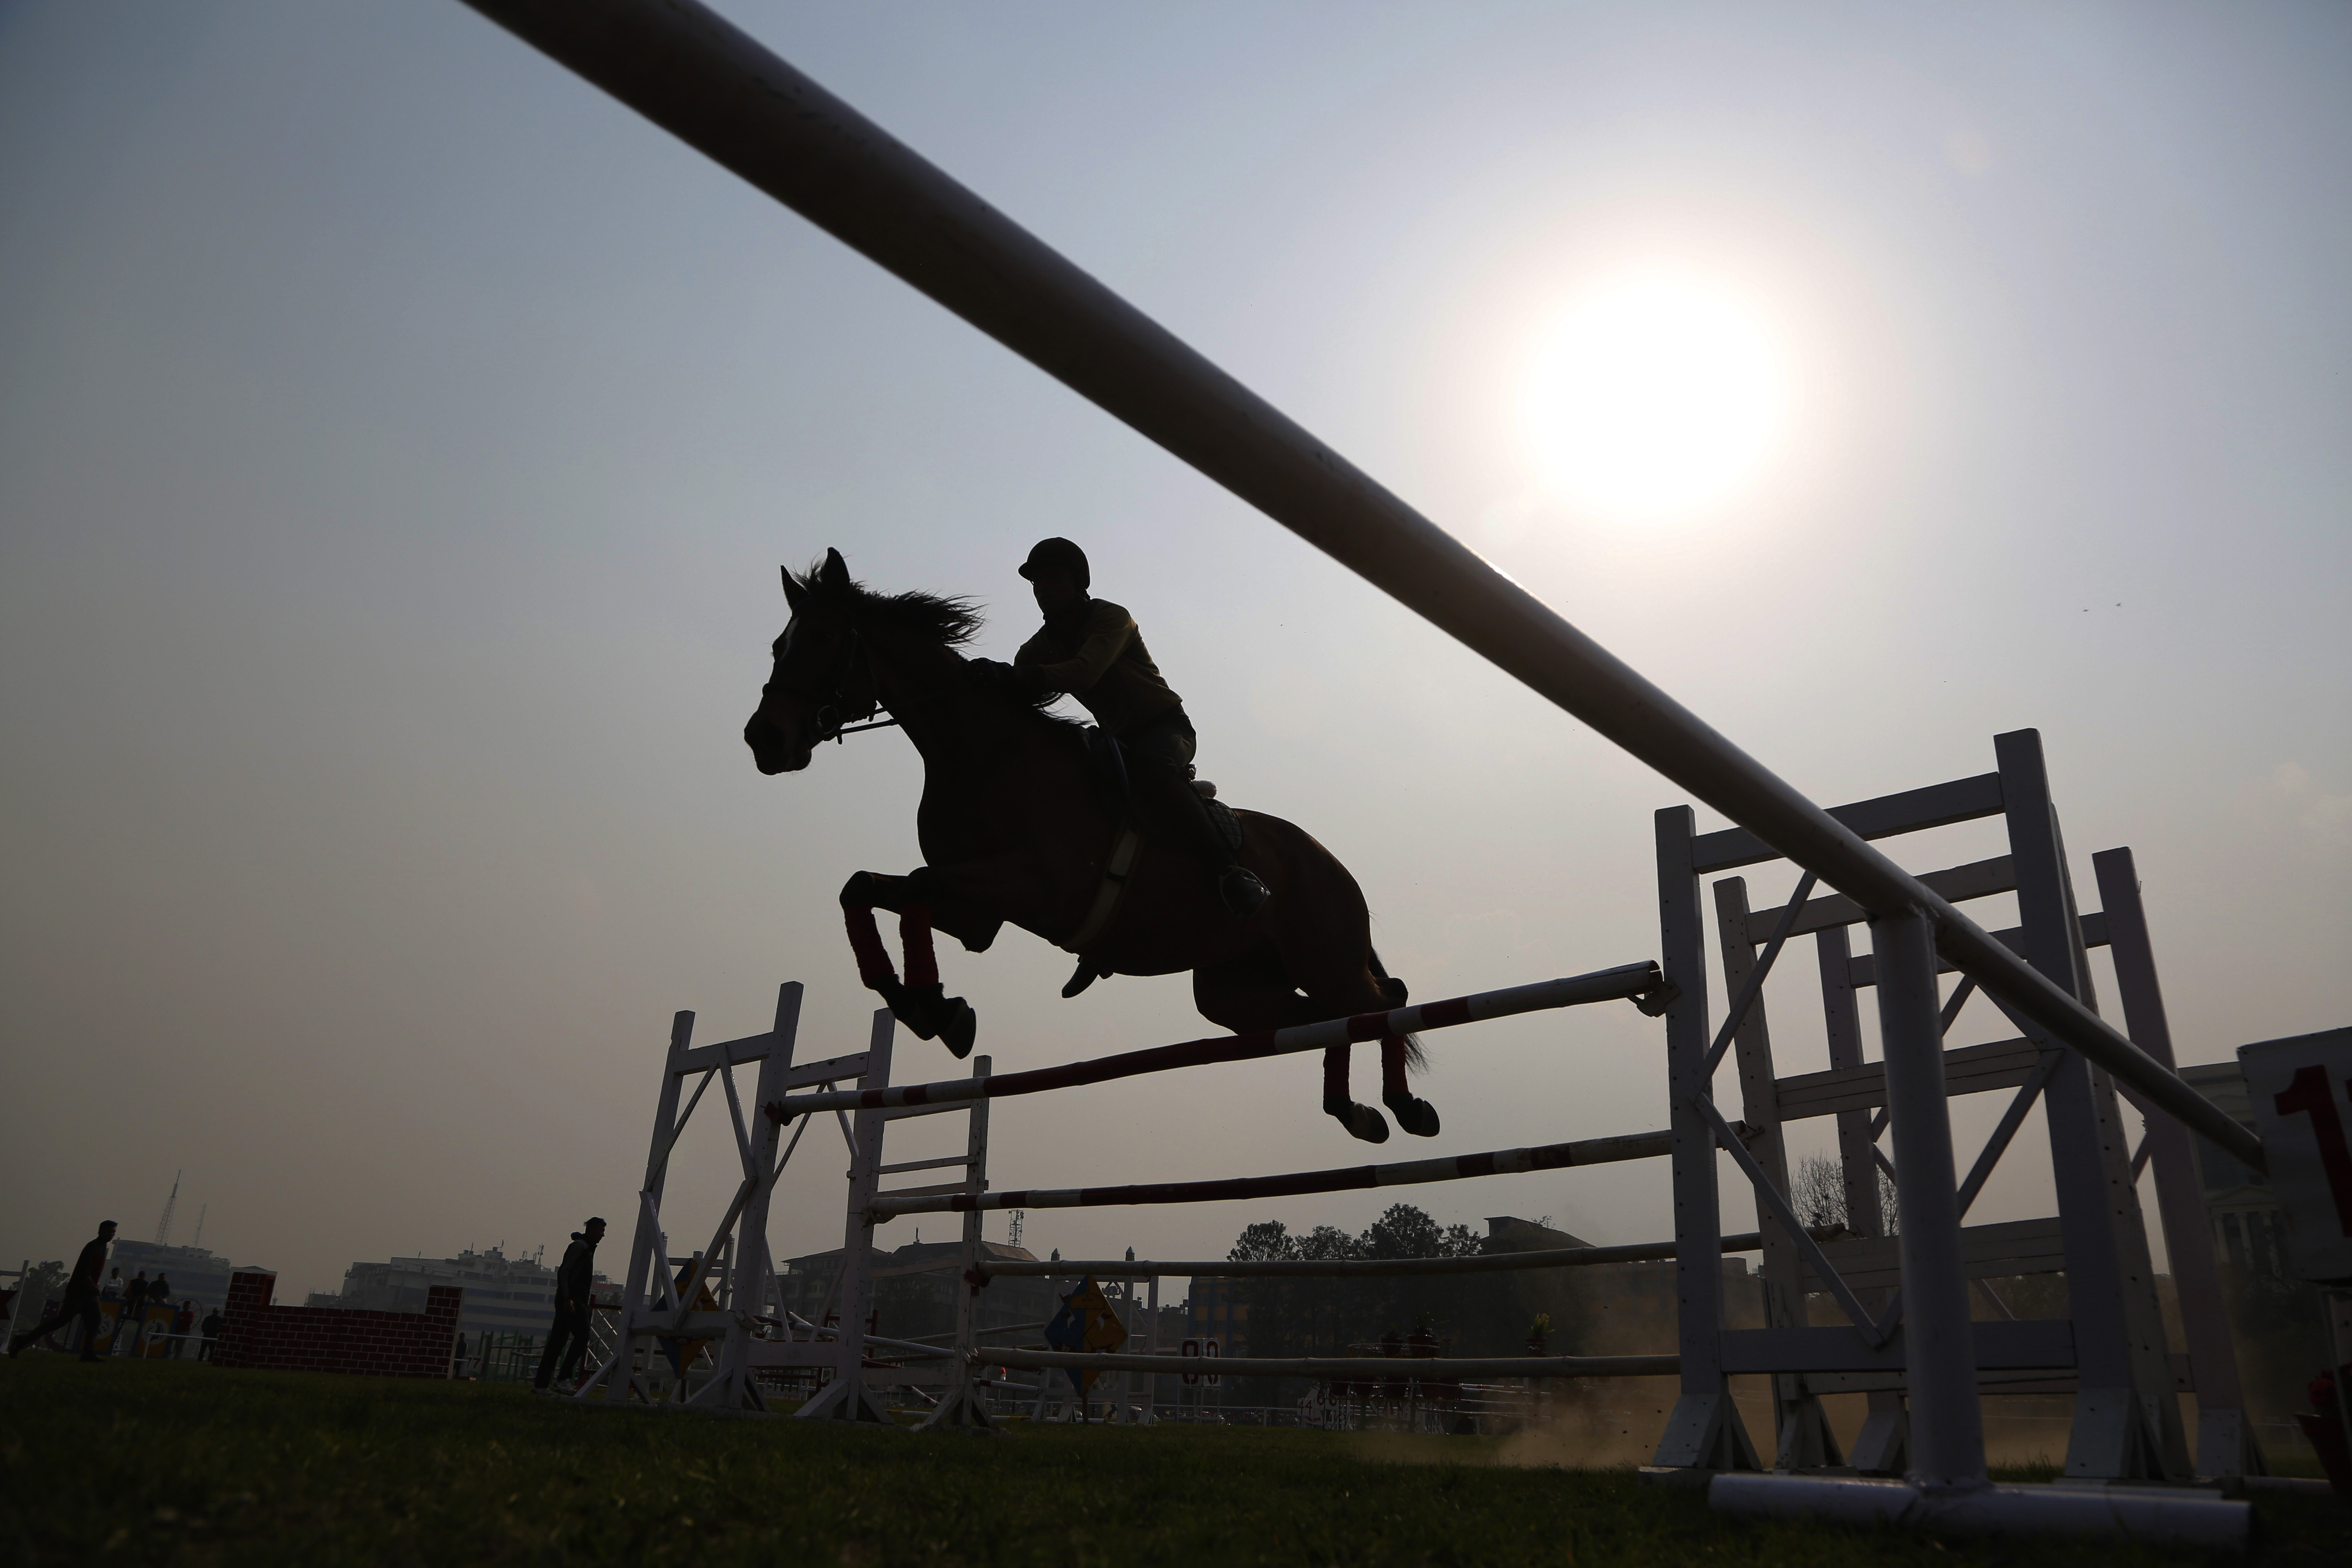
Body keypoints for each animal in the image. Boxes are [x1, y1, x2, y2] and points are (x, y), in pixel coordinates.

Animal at [742, 548, 1436, 1143]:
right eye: (779, 645)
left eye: (823, 641)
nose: (764, 740)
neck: (980, 756)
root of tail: (1326, 860)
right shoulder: (976, 913)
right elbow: (868, 889)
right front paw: (931, 1008)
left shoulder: (1030, 889)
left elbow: (912, 886)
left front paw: (936, 1009)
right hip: (1236, 991)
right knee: (1329, 1019)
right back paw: (1354, 1112)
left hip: (1325, 957)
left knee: (1385, 1002)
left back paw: (1403, 1106)